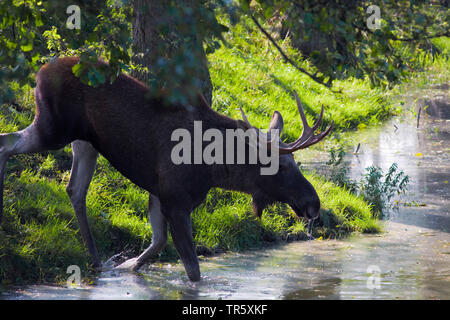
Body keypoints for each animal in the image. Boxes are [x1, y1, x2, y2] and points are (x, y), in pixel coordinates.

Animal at [0, 57, 330, 280]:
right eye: (281, 166)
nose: (313, 204)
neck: (217, 169)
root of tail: (41, 70)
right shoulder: (175, 200)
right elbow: (193, 269)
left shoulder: (159, 193)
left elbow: (157, 242)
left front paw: (126, 265)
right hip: (54, 127)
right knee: (7, 142)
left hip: (84, 141)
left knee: (74, 190)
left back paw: (97, 260)